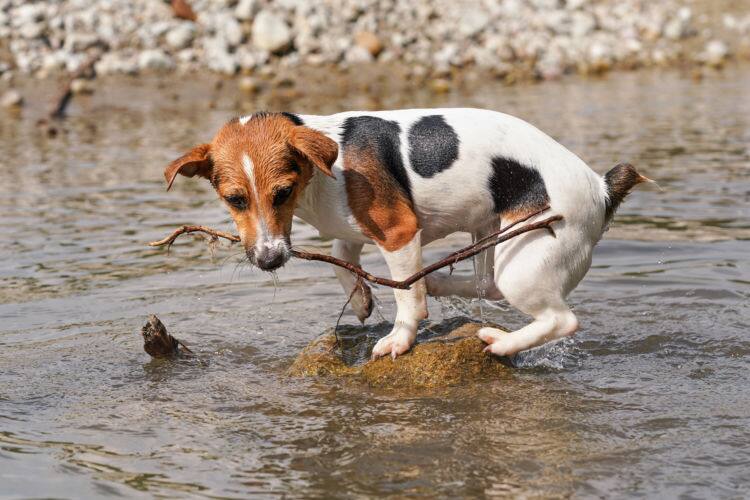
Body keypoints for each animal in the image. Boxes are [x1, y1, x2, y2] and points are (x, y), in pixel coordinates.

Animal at [166, 109, 652, 360]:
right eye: (234, 200)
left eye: (282, 192)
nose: (268, 260)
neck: (326, 167)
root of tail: (600, 186)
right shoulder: (353, 230)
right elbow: (343, 259)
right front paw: (360, 299)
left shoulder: (399, 232)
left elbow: (404, 299)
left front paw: (400, 337)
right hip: (493, 234)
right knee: (486, 284)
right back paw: (436, 281)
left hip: (527, 258)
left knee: (561, 320)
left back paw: (500, 344)